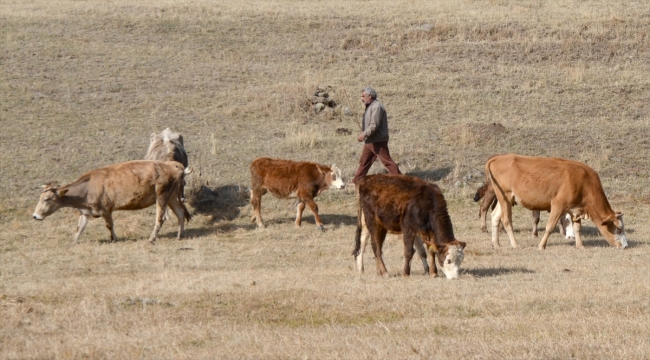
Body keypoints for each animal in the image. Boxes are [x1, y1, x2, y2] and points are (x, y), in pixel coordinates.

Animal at [33, 161, 190, 243]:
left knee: (160, 218)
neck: (88, 187)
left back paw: (151, 238)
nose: (35, 216)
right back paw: (179, 235)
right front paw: (74, 242)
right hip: (171, 197)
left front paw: (114, 238)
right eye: (40, 198)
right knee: (180, 213)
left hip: (162, 196)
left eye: (47, 199)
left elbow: (109, 225)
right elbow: (80, 228)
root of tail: (173, 165)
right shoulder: (86, 212)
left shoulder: (105, 210)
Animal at [484, 153, 624, 249]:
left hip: (503, 198)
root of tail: (499, 158)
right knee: (506, 220)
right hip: (505, 197)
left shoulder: (576, 209)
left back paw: (496, 243)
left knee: (495, 217)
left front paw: (580, 245)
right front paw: (541, 245)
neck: (584, 182)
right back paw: (515, 244)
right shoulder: (558, 205)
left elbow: (577, 228)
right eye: (618, 229)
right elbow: (550, 227)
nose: (625, 245)